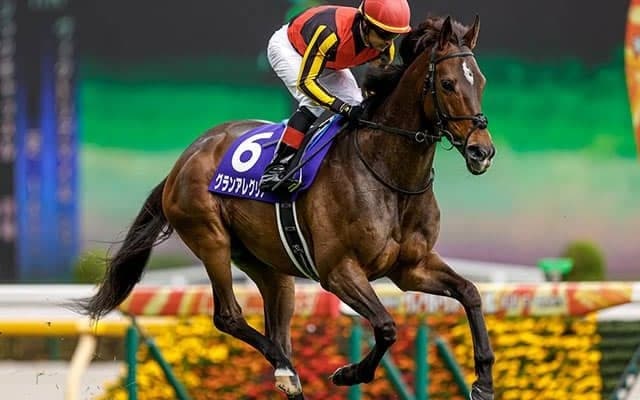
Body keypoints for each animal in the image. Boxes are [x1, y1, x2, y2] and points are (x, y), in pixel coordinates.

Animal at [78, 15, 496, 400]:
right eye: (447, 83)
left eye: (481, 81)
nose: (482, 151)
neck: (389, 176)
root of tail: (186, 158)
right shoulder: (338, 271)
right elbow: (386, 326)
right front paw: (349, 373)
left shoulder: (412, 268)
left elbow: (471, 293)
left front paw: (483, 382)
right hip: (211, 238)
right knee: (229, 317)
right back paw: (284, 367)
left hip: (270, 265)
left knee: (276, 322)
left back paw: (286, 372)